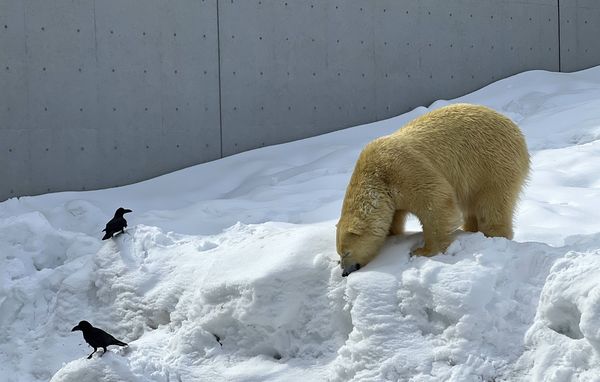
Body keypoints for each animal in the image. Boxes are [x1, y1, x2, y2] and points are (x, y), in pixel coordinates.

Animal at [338, 104, 528, 276]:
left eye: (346, 253)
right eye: (339, 256)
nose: (345, 273)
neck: (376, 176)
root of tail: (516, 130)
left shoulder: (403, 170)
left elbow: (435, 201)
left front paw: (423, 251)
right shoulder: (391, 196)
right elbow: (395, 218)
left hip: (491, 163)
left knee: (491, 203)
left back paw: (493, 234)